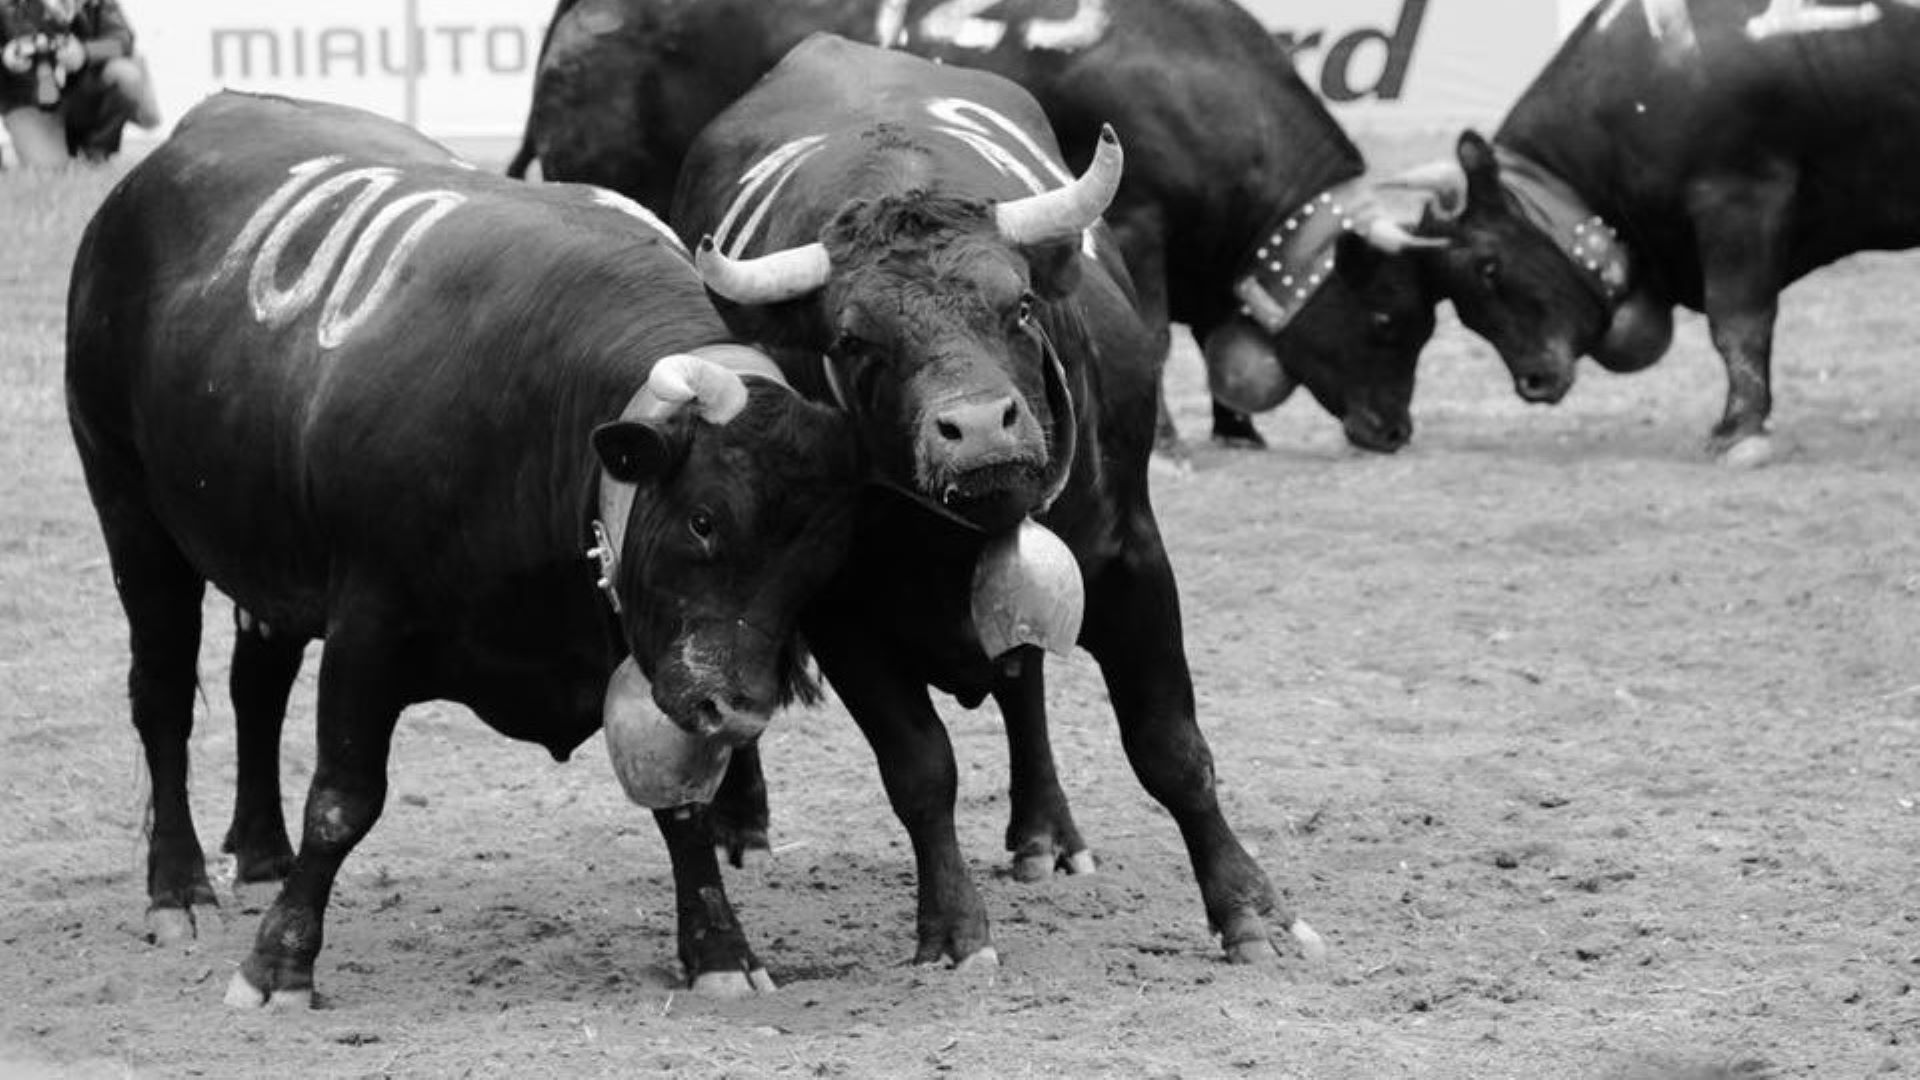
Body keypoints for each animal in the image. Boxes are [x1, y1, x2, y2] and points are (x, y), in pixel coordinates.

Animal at [66, 92, 864, 1007]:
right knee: (161, 695)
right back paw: (176, 887)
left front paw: (720, 949)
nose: (739, 711)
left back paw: (261, 855)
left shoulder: (655, 658)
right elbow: (342, 799)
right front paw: (278, 962)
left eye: (820, 563)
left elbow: (682, 804)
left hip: (265, 556)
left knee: (255, 686)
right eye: (704, 520)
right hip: (130, 513)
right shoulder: (369, 626)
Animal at [509, 0, 1442, 453]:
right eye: (1387, 320)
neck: (1193, 74)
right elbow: (1160, 334)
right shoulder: (1143, 223)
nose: (1394, 432)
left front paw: (1237, 427)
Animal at [670, 35, 1323, 970]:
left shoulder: (1131, 564)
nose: (978, 430)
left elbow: (1169, 747)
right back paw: (741, 824)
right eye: (854, 340)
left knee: (1027, 690)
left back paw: (1047, 834)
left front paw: (1251, 908)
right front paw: (951, 927)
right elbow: (920, 772)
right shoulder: (845, 617)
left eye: (1017, 305)